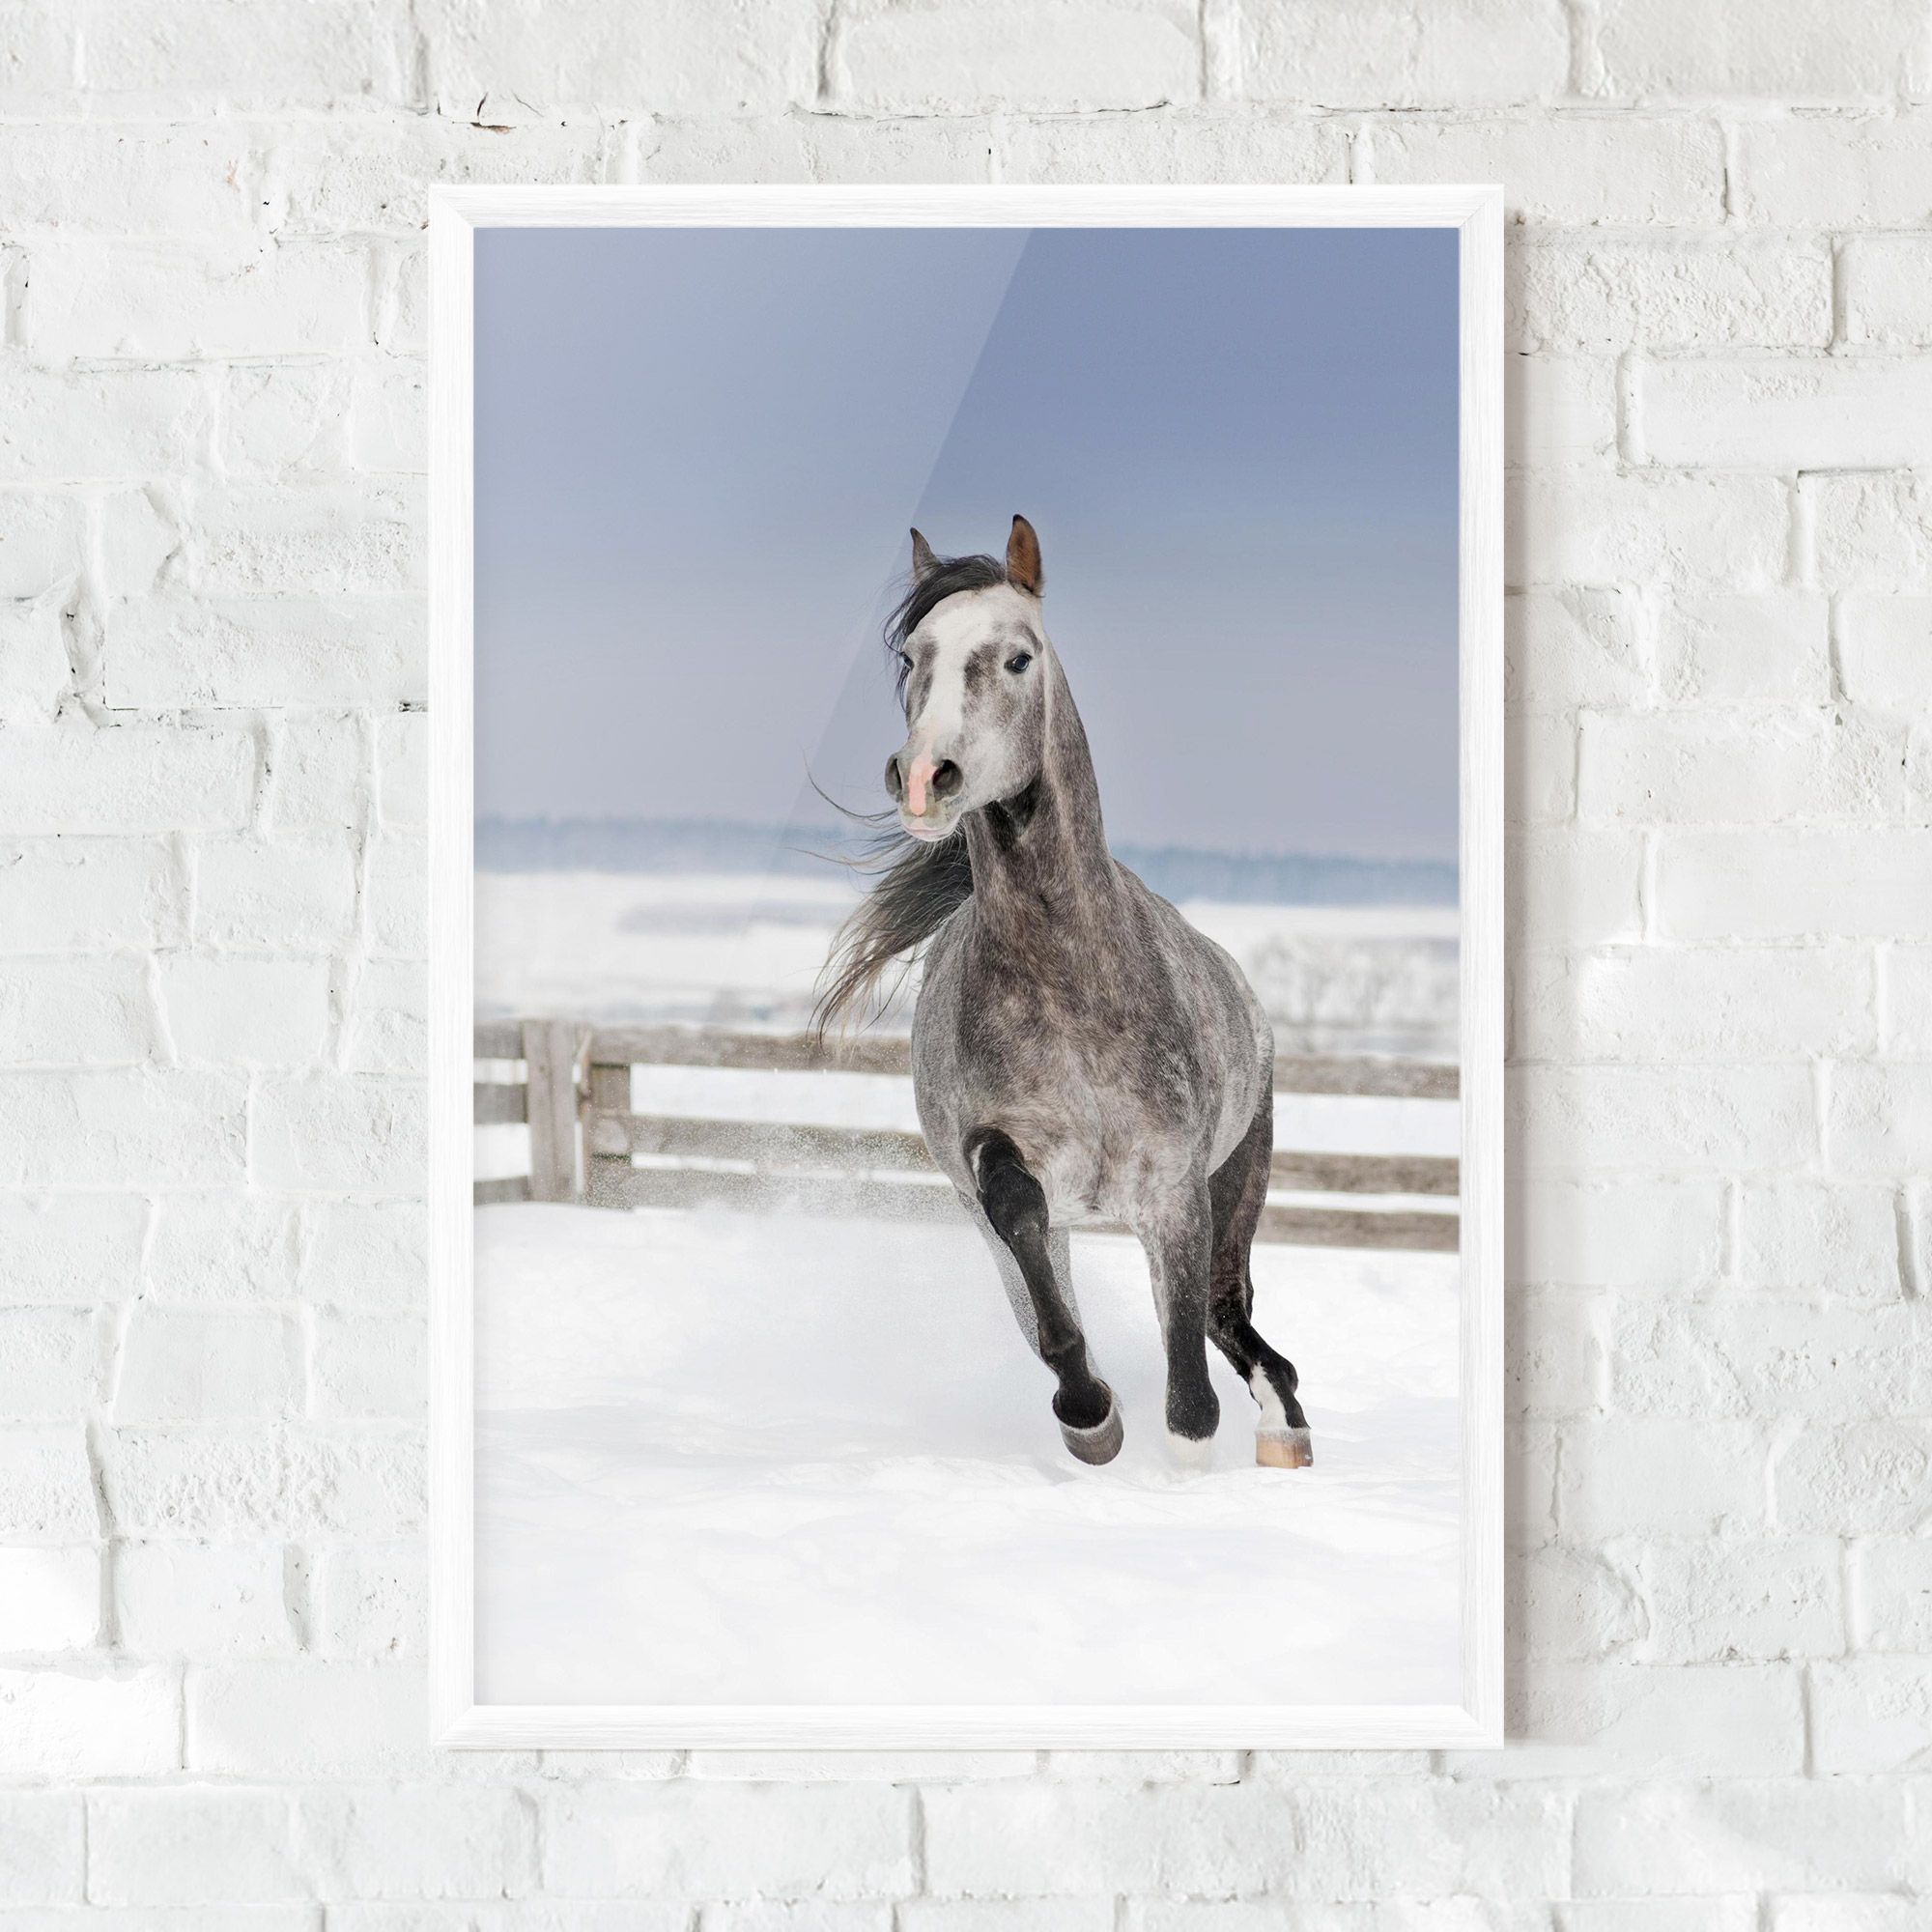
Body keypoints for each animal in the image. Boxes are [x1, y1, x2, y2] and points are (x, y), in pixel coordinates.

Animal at [816, 516, 1312, 1473]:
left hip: (1237, 1183)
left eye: (1018, 658)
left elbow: (1189, 1389)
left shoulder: (1175, 1192)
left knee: (1230, 1317)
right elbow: (1037, 1267)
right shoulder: (1003, 1174)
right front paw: (1090, 1416)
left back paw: (1284, 1431)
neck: (1071, 987)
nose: (924, 777)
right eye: (913, 657)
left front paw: (1184, 1457)